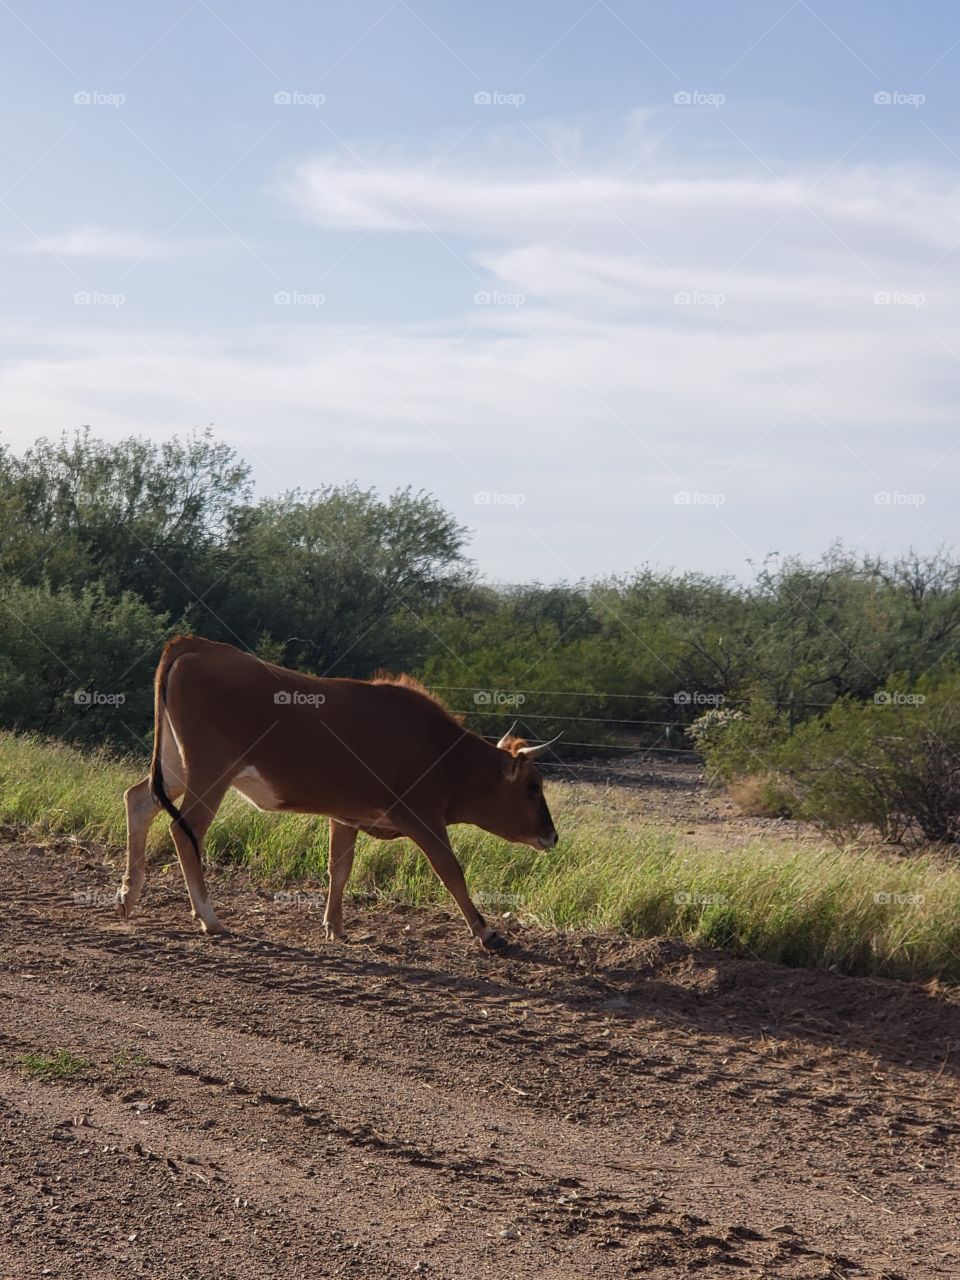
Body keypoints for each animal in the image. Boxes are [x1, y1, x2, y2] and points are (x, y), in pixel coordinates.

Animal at [116, 632, 560, 952]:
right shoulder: (423, 818)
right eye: (533, 786)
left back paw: (128, 894)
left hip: (175, 767)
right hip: (210, 773)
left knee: (138, 801)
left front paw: (335, 926)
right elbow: (451, 871)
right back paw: (208, 917)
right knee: (184, 831)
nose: (552, 835)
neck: (445, 753)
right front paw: (486, 932)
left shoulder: (346, 816)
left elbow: (339, 869)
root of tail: (194, 645)